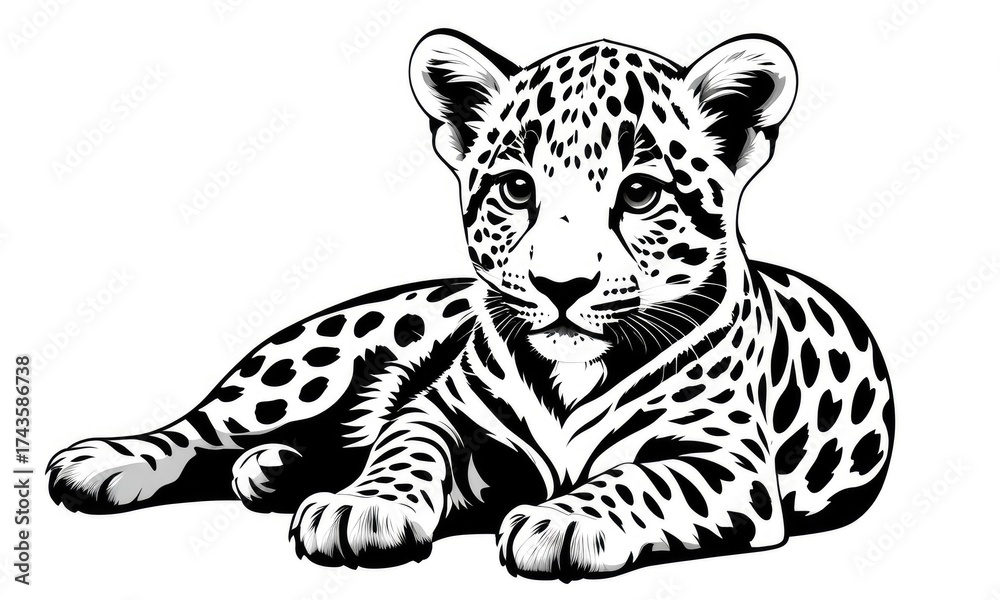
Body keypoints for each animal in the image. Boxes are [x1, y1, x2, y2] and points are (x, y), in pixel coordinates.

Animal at [48, 29, 894, 581]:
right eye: (517, 188)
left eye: (641, 193)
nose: (561, 287)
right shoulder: (444, 410)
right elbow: (403, 446)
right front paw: (365, 510)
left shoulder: (726, 462)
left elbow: (638, 479)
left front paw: (565, 520)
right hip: (301, 369)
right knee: (199, 429)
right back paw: (105, 463)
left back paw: (276, 471)